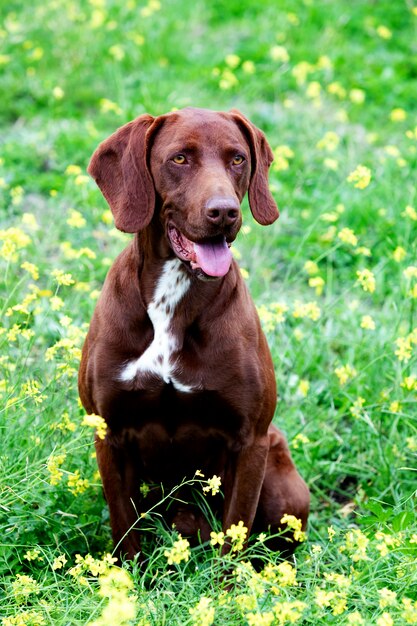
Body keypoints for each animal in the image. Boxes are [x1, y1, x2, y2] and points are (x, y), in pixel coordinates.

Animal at [79, 105, 308, 560]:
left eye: (237, 159)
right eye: (180, 159)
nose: (225, 212)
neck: (174, 296)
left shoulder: (251, 442)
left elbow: (234, 540)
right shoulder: (109, 435)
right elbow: (124, 532)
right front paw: (126, 578)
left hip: (285, 491)